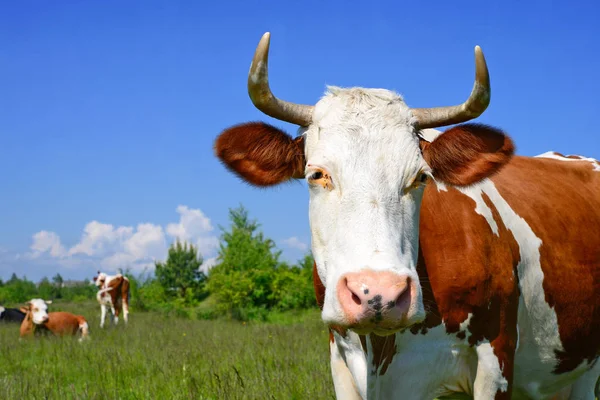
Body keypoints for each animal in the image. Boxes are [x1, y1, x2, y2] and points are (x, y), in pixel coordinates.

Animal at [213, 32, 596, 400]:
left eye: (421, 177)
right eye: (317, 174)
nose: (379, 294)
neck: (380, 352)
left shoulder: (496, 356)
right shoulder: (340, 355)